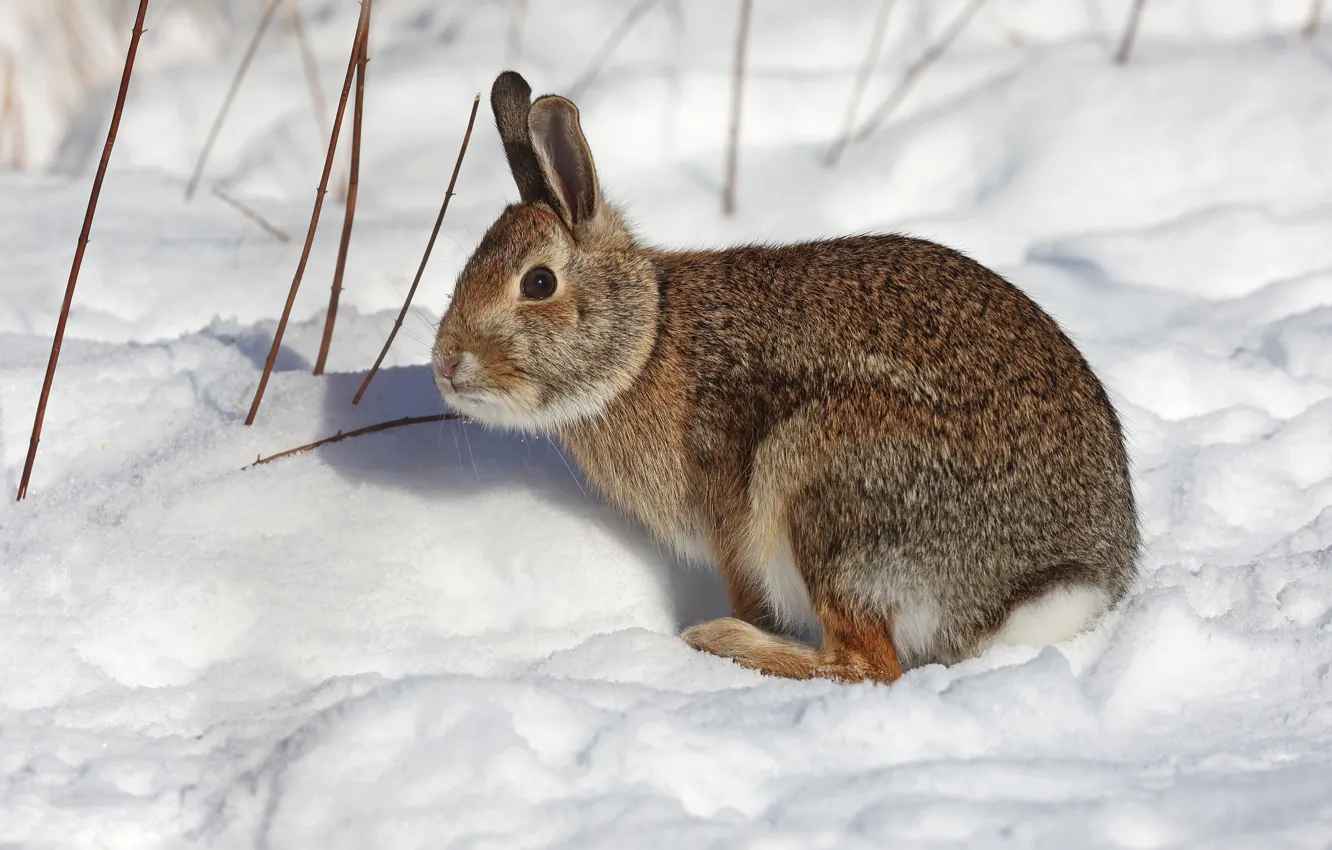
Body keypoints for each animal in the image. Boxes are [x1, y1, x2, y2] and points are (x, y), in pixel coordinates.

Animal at [432, 71, 1140, 684]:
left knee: (869, 664)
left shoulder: (731, 526)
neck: (649, 340)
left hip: (819, 484)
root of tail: (1044, 583)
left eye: (538, 283)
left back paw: (722, 641)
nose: (446, 363)